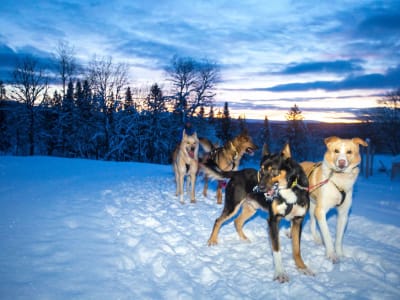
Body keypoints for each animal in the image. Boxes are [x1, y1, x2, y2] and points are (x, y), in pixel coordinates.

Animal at [203, 144, 312, 282]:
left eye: (273, 170)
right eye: (261, 170)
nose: (259, 188)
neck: (289, 189)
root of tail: (237, 173)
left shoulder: (298, 220)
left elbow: (297, 249)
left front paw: (302, 267)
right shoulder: (273, 221)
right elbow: (277, 249)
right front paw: (280, 273)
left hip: (251, 209)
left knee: (237, 222)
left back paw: (244, 239)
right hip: (232, 206)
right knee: (218, 220)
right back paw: (212, 240)